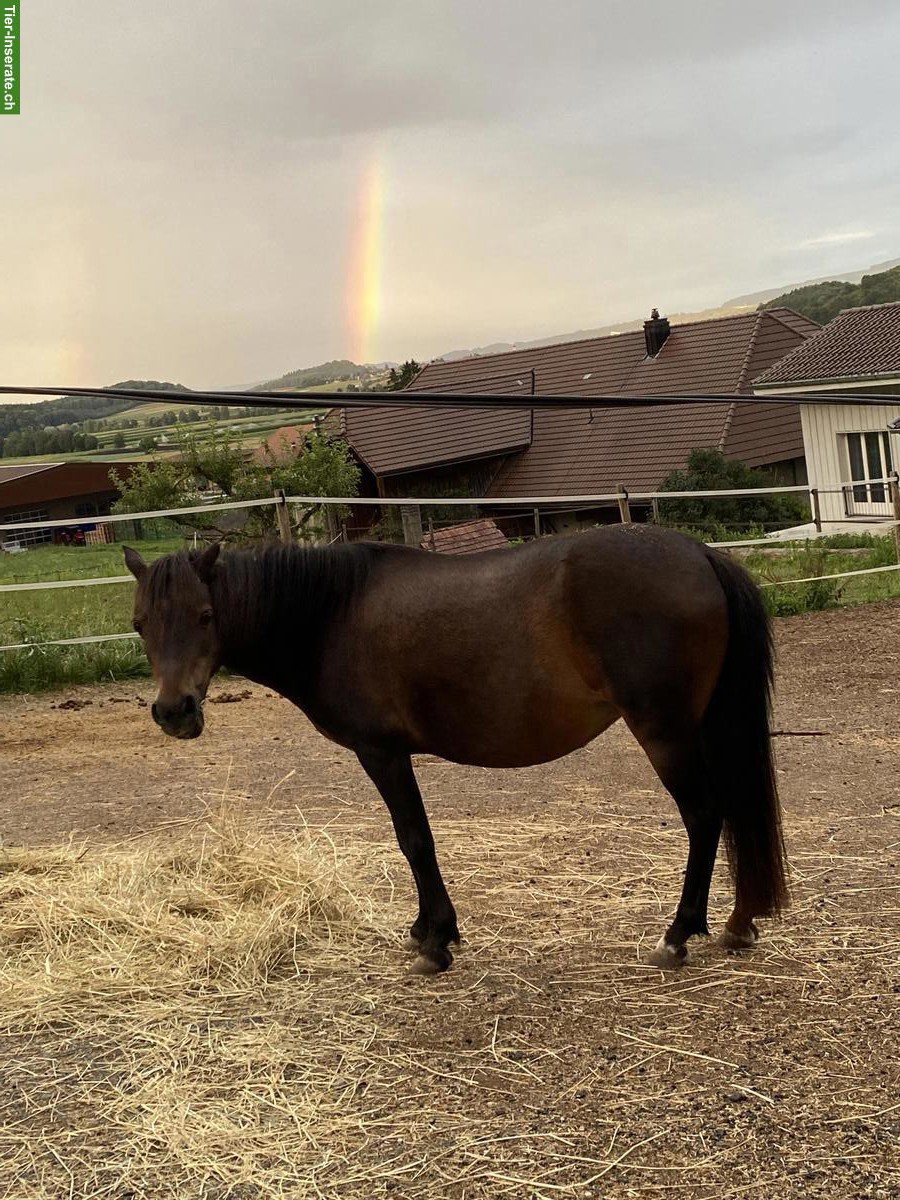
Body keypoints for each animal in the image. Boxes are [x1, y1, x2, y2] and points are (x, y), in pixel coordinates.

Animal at [123, 525, 788, 975]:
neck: (332, 614)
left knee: (705, 816)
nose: (174, 712)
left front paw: (434, 940)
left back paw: (678, 935)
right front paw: (430, 931)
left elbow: (415, 840)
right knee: (731, 812)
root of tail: (700, 553)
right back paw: (738, 925)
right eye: (140, 624)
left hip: (665, 732)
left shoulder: (382, 753)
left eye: (205, 615)